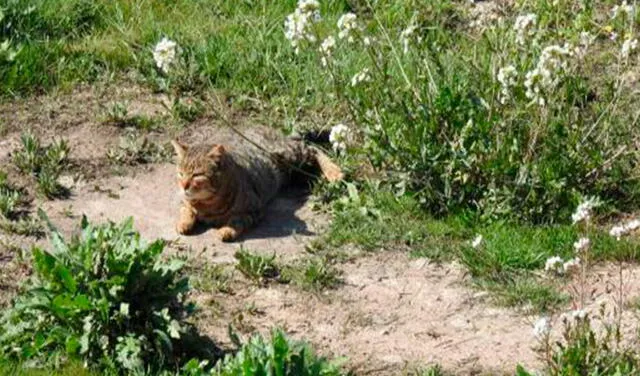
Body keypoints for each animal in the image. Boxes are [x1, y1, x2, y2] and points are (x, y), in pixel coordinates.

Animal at [169, 128, 340, 242]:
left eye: (197, 175)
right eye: (180, 173)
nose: (183, 185)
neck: (208, 203)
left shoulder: (255, 210)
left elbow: (236, 220)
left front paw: (227, 230)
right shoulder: (185, 201)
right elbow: (186, 210)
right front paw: (184, 222)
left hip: (290, 155)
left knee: (312, 148)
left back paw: (334, 172)